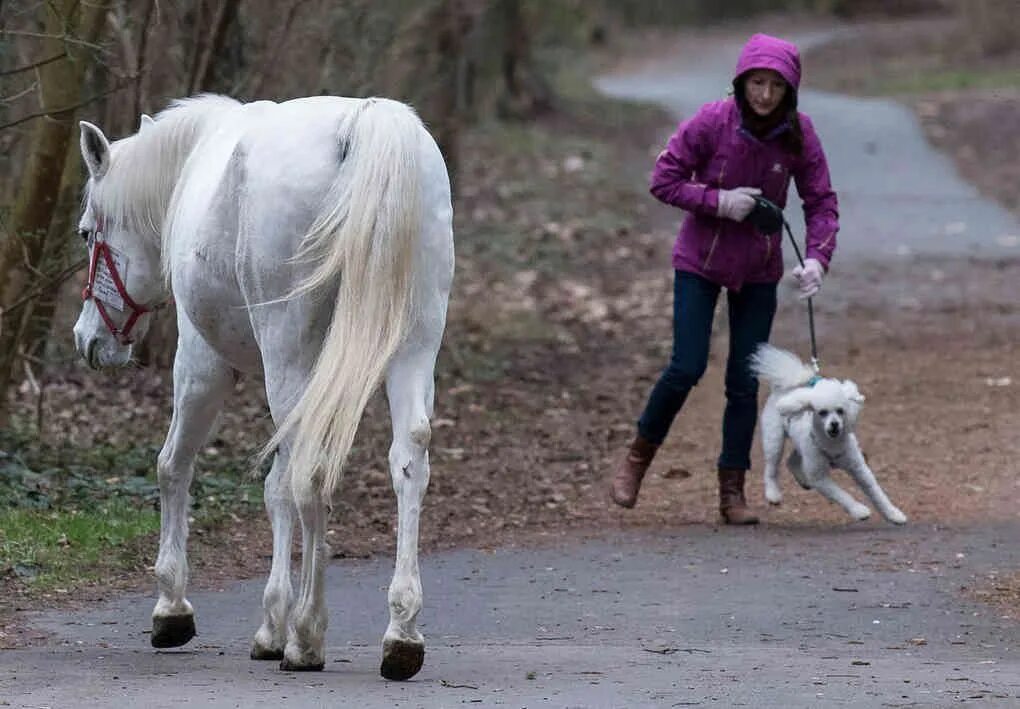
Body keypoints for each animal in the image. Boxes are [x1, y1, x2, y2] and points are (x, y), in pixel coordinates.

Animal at [71, 94, 454, 681]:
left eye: (88, 233)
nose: (87, 338)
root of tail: (361, 122)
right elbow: (277, 489)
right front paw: (271, 622)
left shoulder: (201, 363)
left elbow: (173, 466)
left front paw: (174, 607)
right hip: (414, 344)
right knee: (407, 457)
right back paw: (401, 634)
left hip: (285, 352)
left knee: (310, 470)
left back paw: (308, 635)